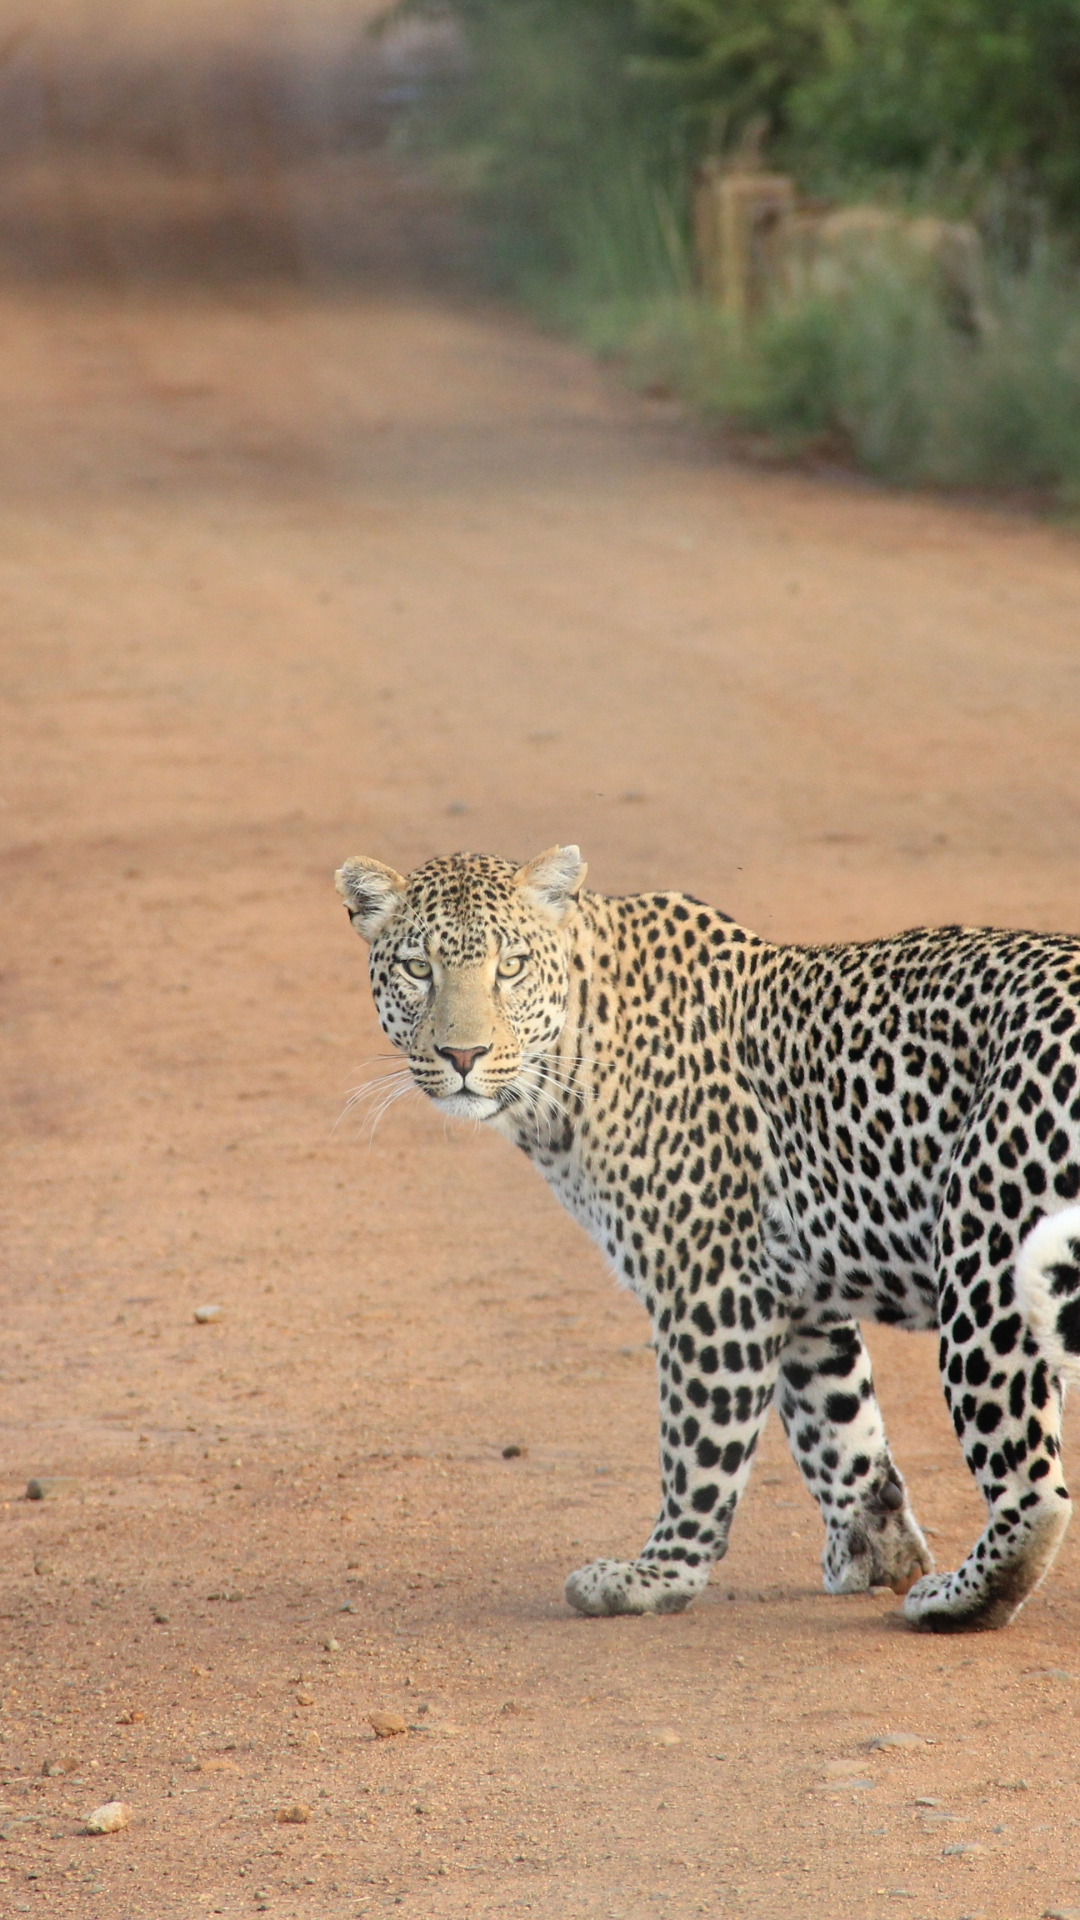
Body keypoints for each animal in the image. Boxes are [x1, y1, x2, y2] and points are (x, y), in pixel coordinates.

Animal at [336, 844, 1080, 1635]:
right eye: (418, 968)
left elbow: (699, 1447)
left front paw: (657, 1575)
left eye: (509, 967)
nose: (463, 1054)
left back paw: (957, 1599)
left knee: (1033, 1489)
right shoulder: (798, 1291)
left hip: (983, 1248)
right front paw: (875, 1551)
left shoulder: (711, 1284)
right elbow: (838, 1426)